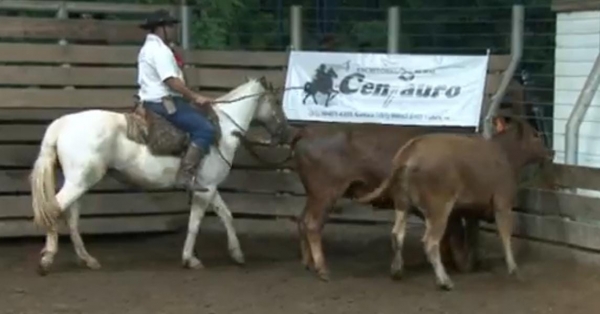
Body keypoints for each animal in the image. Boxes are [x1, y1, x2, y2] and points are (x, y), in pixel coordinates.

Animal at [29, 76, 286, 274]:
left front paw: (237, 254)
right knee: (54, 209)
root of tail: (63, 123)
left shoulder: (208, 186)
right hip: (78, 182)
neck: (222, 131)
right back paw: (47, 259)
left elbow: (227, 215)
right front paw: (190, 259)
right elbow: (195, 223)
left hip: (79, 182)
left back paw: (87, 259)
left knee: (71, 217)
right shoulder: (206, 189)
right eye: (275, 101)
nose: (285, 131)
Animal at [356, 119, 552, 290]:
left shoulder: (471, 211)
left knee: (397, 234)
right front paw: (513, 268)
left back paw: (397, 271)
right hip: (438, 209)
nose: (551, 153)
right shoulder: (502, 203)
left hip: (402, 204)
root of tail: (410, 152)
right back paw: (445, 281)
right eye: (536, 135)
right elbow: (505, 236)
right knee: (430, 242)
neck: (505, 154)